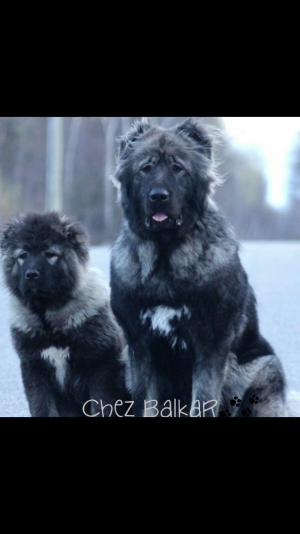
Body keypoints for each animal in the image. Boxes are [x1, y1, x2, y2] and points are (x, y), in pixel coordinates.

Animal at [0, 214, 126, 418]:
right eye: (23, 255)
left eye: (50, 254)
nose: (31, 274)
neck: (48, 318)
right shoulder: (35, 369)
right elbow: (42, 407)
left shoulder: (101, 365)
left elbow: (102, 405)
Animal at [110, 117, 286, 418]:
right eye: (146, 168)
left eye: (177, 168)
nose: (158, 196)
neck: (166, 256)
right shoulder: (140, 347)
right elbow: (146, 403)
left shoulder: (210, 344)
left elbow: (203, 400)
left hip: (263, 367)